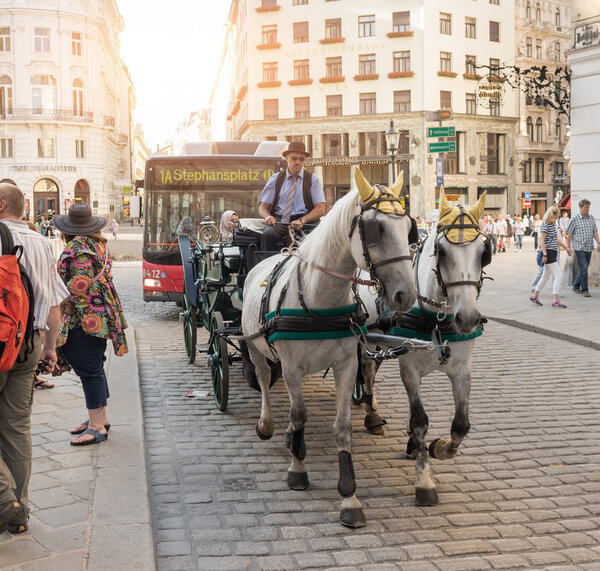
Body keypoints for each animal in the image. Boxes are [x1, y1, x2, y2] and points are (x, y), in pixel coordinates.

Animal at [240, 168, 418, 528]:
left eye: (409, 227)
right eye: (376, 229)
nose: (406, 295)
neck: (319, 297)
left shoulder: (346, 364)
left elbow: (342, 426)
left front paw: (349, 496)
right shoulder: (291, 367)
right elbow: (298, 413)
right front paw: (297, 469)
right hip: (255, 347)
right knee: (264, 380)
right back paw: (268, 425)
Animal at [358, 191, 490, 504]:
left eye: (484, 252)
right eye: (441, 251)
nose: (468, 317)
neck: (435, 319)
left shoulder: (462, 369)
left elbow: (460, 425)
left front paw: (438, 447)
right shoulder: (410, 368)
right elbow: (419, 419)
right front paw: (424, 481)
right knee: (366, 370)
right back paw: (371, 415)